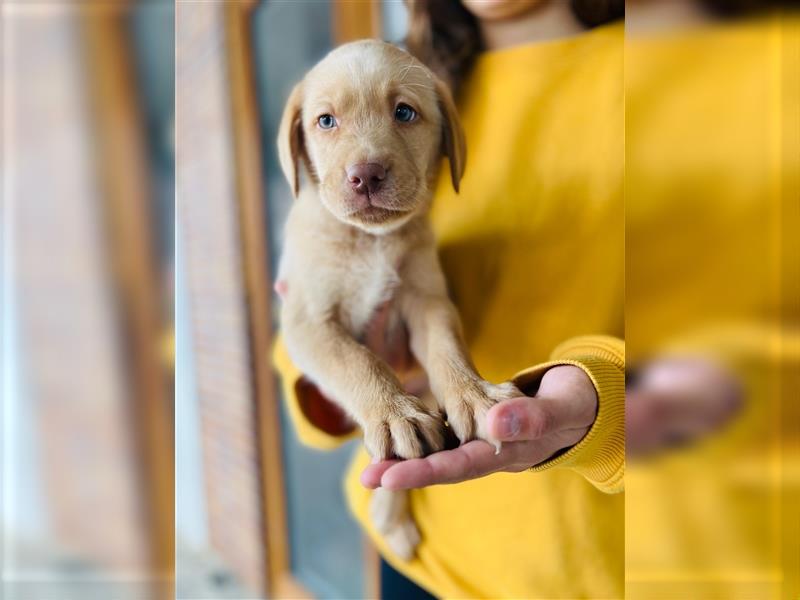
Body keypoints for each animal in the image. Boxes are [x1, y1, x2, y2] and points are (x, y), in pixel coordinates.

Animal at [278, 41, 520, 556]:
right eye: (326, 121)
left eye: (404, 112)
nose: (365, 175)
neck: (371, 242)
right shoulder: (308, 320)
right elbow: (357, 361)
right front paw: (394, 414)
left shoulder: (427, 299)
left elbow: (447, 350)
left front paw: (474, 394)